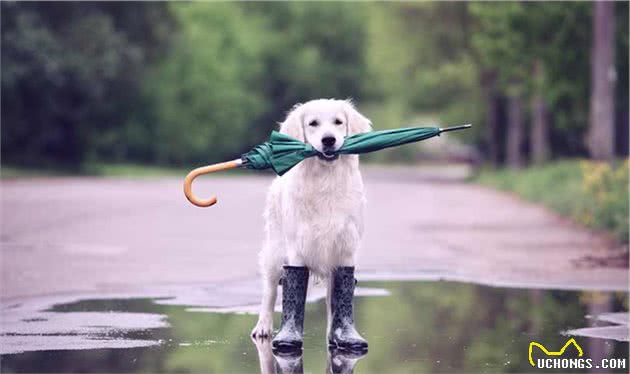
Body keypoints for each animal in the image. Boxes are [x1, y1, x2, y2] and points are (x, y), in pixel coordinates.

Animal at [251, 98, 372, 350]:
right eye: (313, 123)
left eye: (338, 122)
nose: (329, 140)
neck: (325, 179)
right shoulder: (298, 247)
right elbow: (292, 287)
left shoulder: (345, 248)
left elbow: (340, 297)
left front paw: (342, 335)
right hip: (275, 251)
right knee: (269, 291)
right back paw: (263, 327)